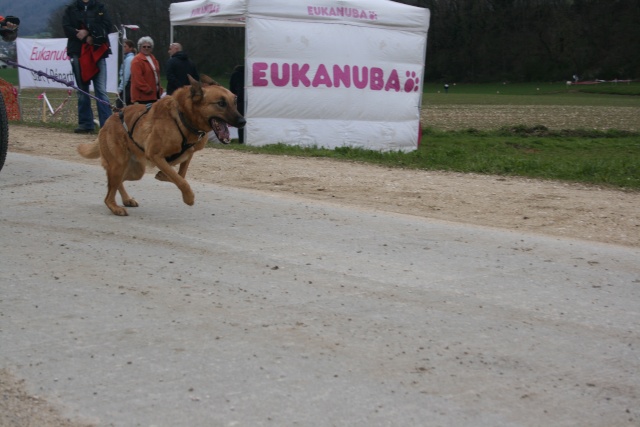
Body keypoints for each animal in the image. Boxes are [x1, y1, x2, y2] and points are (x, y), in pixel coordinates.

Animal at [75, 74, 245, 217]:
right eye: (221, 103)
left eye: (235, 101)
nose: (243, 122)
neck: (183, 118)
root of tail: (109, 120)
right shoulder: (156, 155)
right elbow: (181, 180)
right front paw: (188, 197)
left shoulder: (188, 153)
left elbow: (180, 174)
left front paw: (163, 176)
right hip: (119, 165)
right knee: (109, 193)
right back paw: (115, 207)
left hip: (135, 171)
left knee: (116, 183)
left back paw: (126, 199)